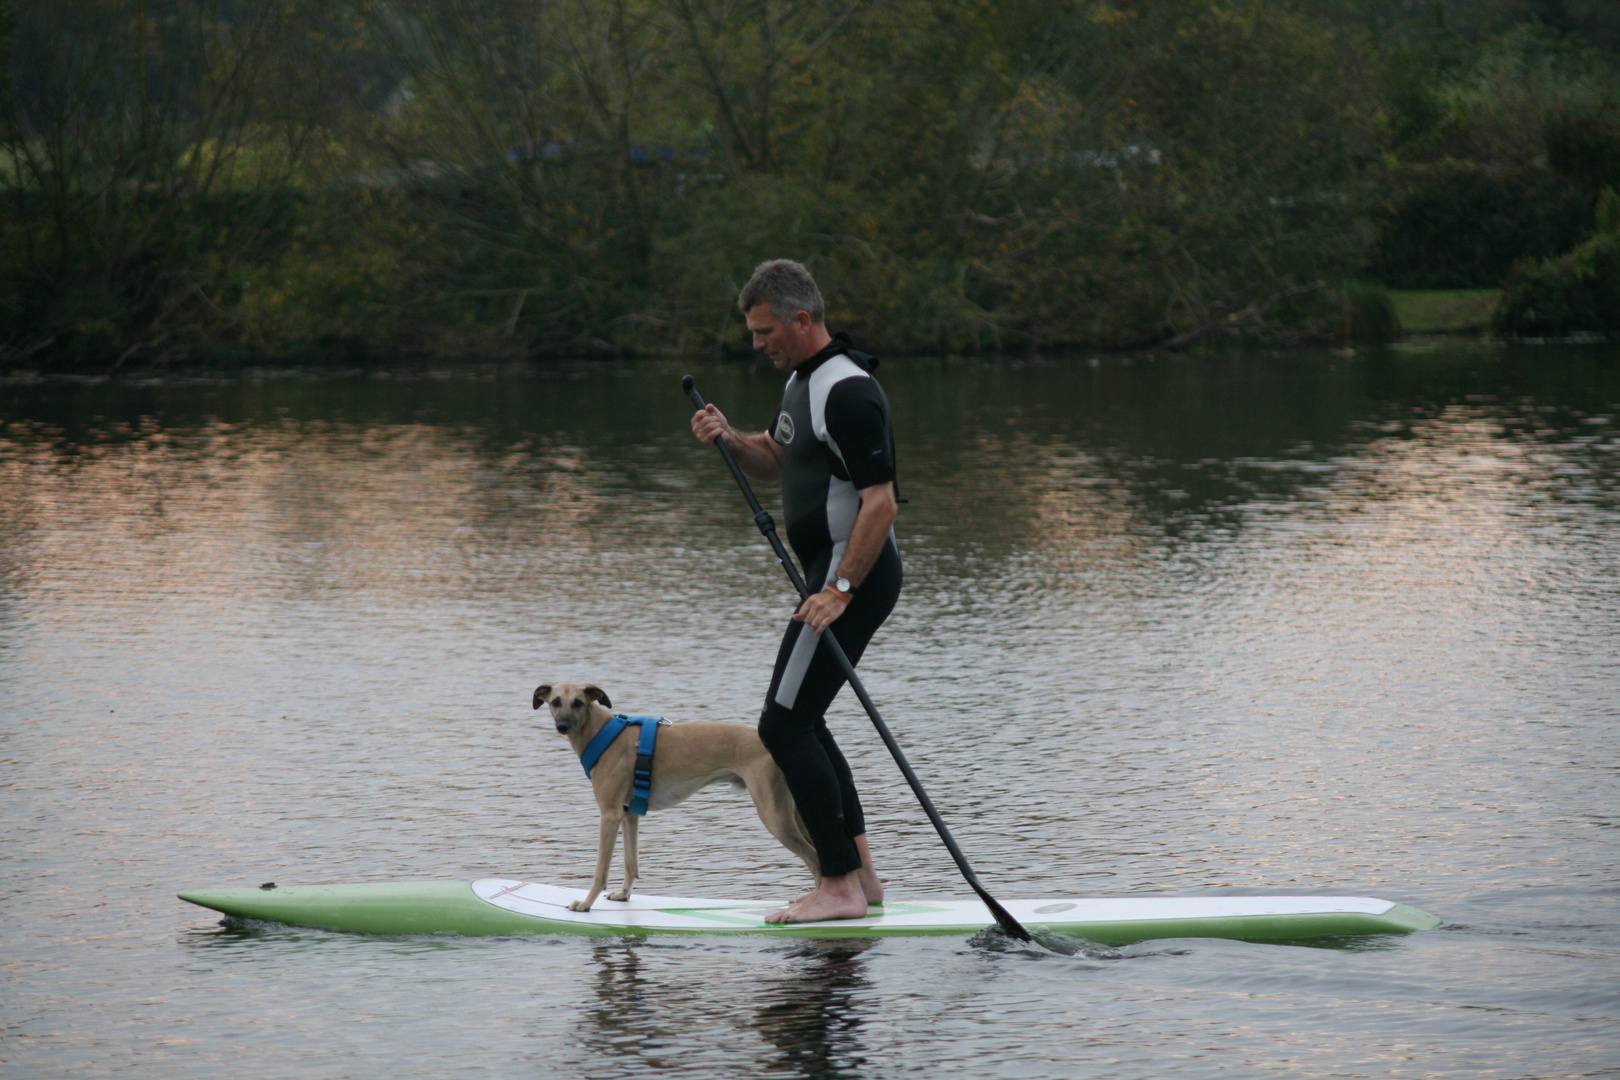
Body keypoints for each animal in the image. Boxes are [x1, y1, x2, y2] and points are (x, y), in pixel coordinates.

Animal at [534, 683, 822, 913]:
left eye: (578, 702)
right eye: (555, 701)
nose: (562, 726)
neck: (603, 733)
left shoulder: (609, 814)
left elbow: (600, 870)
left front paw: (585, 904)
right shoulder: (628, 814)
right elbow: (631, 863)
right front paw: (623, 894)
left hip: (774, 817)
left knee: (815, 860)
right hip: (792, 813)